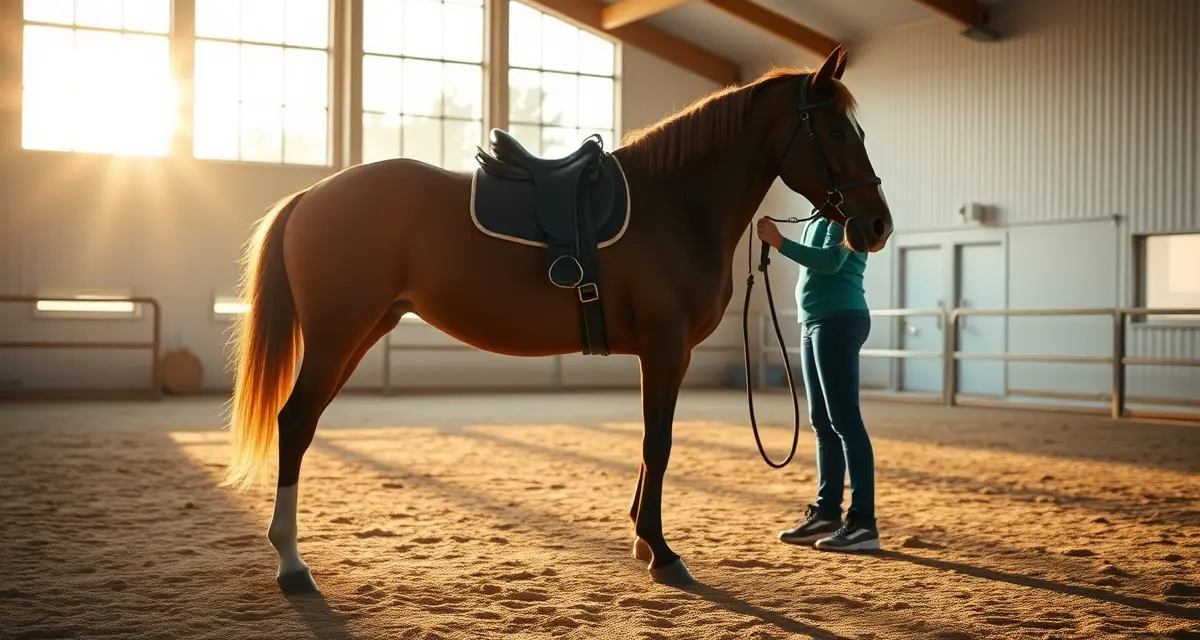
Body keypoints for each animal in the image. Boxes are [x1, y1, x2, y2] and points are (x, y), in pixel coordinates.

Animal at [220, 44, 892, 594]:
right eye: (836, 130)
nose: (877, 225)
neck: (674, 204)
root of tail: (312, 195)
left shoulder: (659, 354)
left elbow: (649, 444)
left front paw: (642, 539)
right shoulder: (666, 346)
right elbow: (660, 443)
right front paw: (662, 553)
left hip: (361, 332)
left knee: (300, 422)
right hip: (336, 336)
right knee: (295, 423)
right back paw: (291, 565)